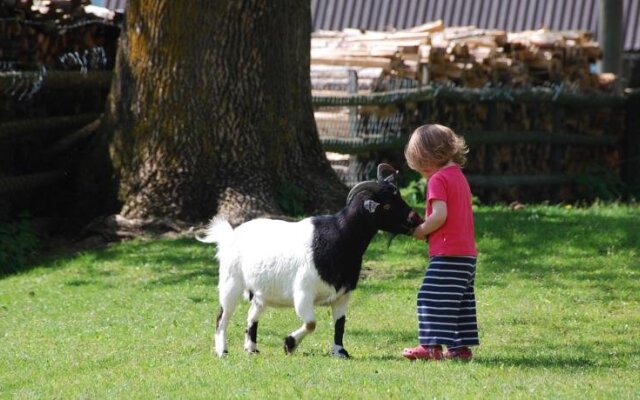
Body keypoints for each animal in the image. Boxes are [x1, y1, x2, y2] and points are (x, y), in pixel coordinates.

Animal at [198, 164, 422, 358]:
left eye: (399, 196)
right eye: (387, 205)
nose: (415, 219)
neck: (339, 237)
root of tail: (230, 235)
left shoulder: (343, 294)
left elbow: (340, 324)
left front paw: (340, 352)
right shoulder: (303, 293)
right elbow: (311, 323)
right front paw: (289, 344)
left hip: (261, 292)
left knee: (252, 314)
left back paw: (251, 348)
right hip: (231, 283)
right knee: (222, 316)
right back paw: (222, 351)